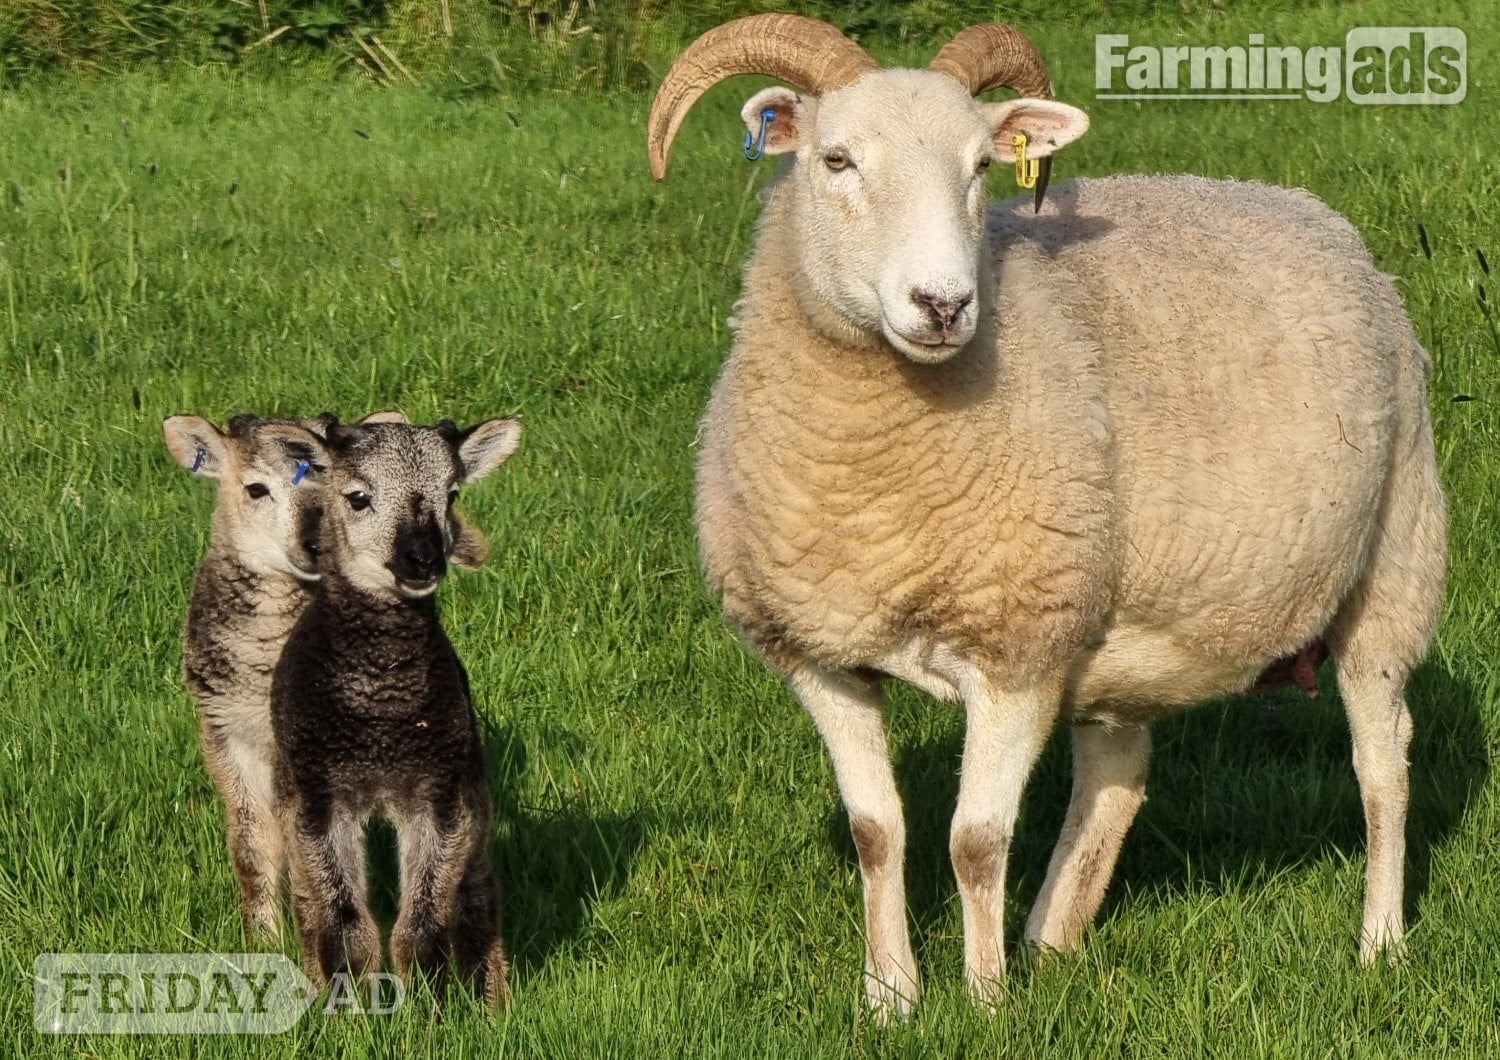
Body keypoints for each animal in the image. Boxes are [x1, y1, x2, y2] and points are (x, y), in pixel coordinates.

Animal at [270, 417, 520, 1008]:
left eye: (451, 495)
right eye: (357, 497)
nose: (424, 558)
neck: (382, 717)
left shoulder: (440, 793)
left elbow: (424, 919)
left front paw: (429, 1004)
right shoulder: (318, 795)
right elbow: (340, 917)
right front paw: (345, 1003)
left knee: (477, 891)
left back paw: (491, 997)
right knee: (307, 902)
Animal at [647, 15, 1447, 1016]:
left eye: (981, 168)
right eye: (836, 160)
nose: (943, 305)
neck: (874, 486)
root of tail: (1310, 211)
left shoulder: (1016, 647)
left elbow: (974, 840)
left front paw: (984, 1001)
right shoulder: (820, 656)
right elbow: (876, 831)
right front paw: (889, 998)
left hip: (1394, 563)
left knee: (1384, 765)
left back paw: (1380, 943)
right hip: (1114, 623)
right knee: (1119, 770)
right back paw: (1053, 940)